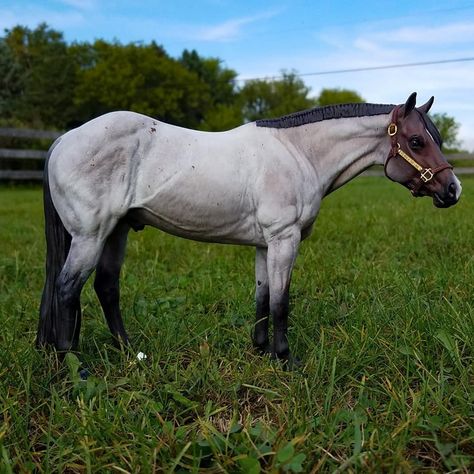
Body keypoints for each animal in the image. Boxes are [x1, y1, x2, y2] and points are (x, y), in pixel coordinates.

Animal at [38, 92, 462, 364]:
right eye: (416, 140)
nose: (453, 190)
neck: (299, 152)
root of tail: (63, 140)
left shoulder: (264, 244)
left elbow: (262, 297)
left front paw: (259, 351)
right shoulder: (284, 238)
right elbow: (280, 302)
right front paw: (285, 359)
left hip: (117, 232)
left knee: (106, 288)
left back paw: (129, 353)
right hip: (91, 236)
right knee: (66, 290)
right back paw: (74, 366)